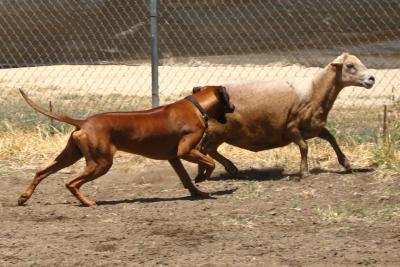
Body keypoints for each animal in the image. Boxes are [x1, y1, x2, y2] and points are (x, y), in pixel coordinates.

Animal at [17, 86, 234, 207]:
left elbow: (186, 178)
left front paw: (197, 192)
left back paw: (24, 197)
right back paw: (87, 203)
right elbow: (210, 162)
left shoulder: (174, 157)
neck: (197, 106)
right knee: (71, 183)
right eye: (229, 99)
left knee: (41, 172)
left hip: (70, 156)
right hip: (101, 163)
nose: (234, 108)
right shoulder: (185, 151)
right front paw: (202, 177)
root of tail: (83, 122)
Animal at [195, 53, 376, 181]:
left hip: (217, 133)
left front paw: (346, 164)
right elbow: (304, 146)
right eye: (350, 65)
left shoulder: (314, 127)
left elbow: (331, 139)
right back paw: (223, 169)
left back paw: (217, 170)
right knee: (206, 149)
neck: (315, 90)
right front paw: (304, 172)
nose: (372, 78)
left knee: (206, 149)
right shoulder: (291, 128)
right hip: (218, 132)